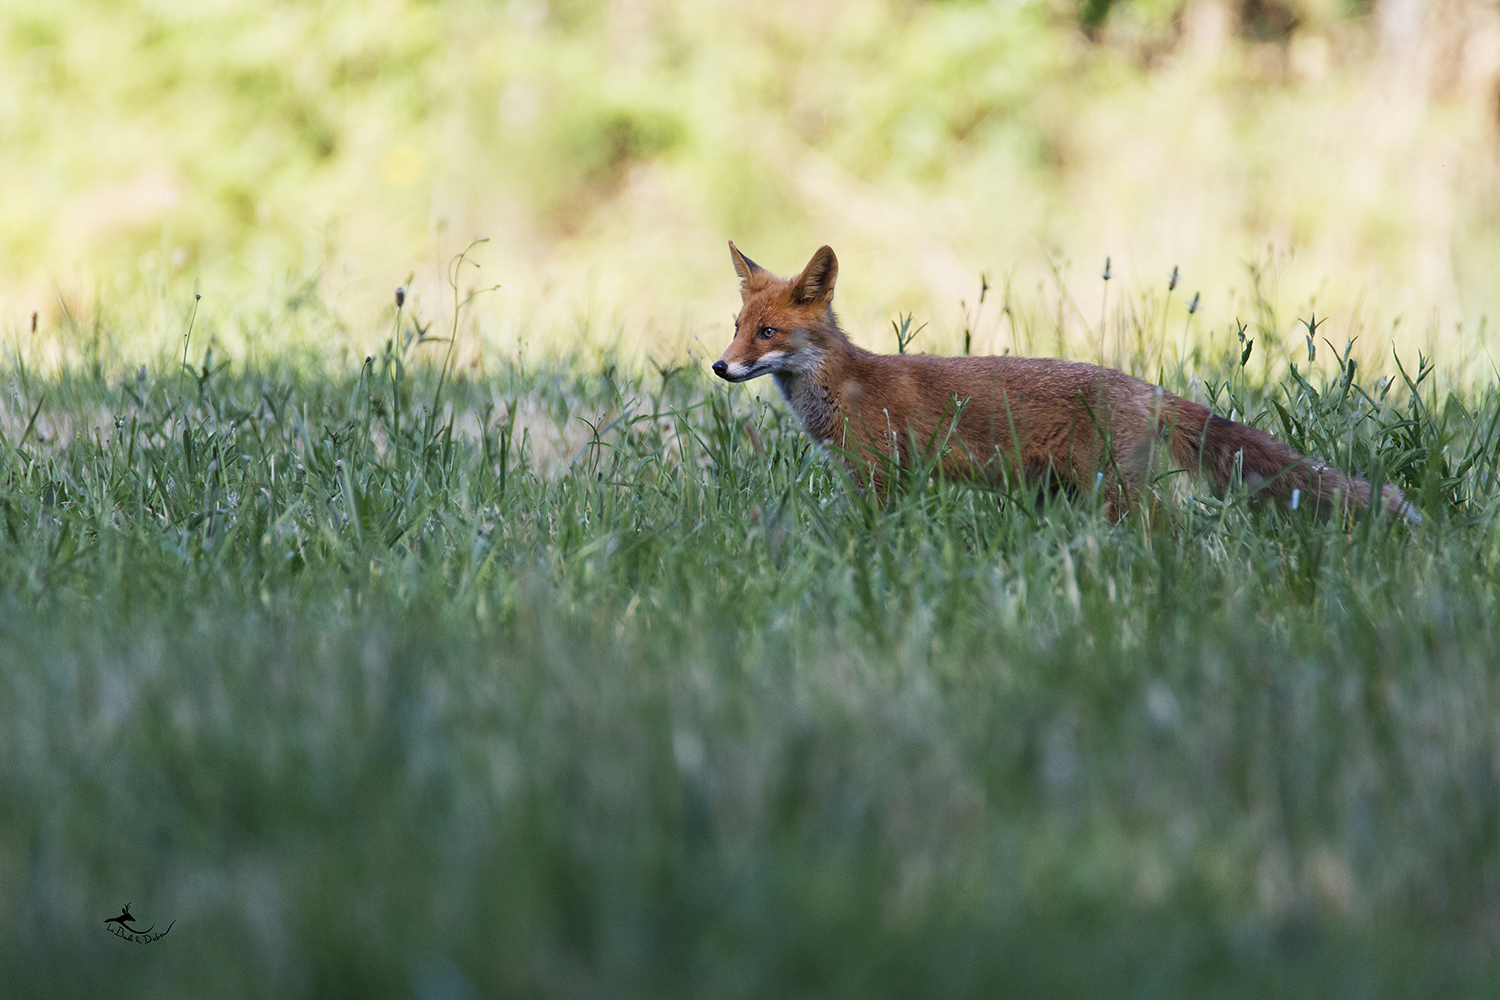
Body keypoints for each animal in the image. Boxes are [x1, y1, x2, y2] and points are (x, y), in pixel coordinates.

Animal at [714, 242, 1416, 524]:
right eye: (737, 328)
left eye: (769, 334)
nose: (720, 367)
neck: (845, 387)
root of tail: (1147, 389)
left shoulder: (884, 478)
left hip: (1117, 495)